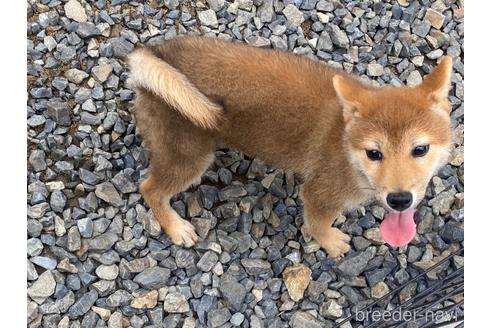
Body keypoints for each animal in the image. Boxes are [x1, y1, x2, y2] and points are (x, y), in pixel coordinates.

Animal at [128, 36, 454, 256]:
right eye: (374, 153)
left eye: (420, 150)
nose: (400, 200)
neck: (346, 148)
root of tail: (157, 54)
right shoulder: (319, 194)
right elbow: (319, 224)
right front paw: (330, 242)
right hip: (189, 157)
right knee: (150, 189)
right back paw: (175, 227)